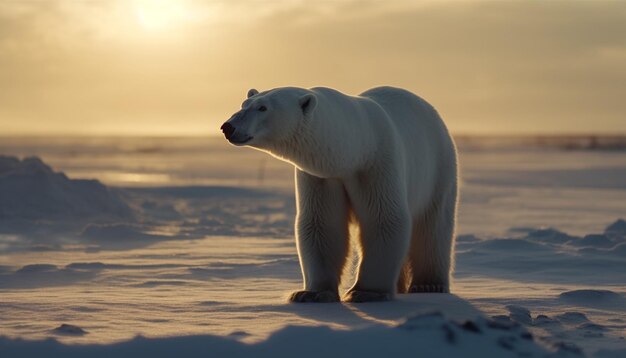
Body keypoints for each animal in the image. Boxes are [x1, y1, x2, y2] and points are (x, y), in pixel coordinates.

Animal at [222, 86, 456, 302]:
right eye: (244, 104)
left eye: (263, 107)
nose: (228, 127)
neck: (355, 149)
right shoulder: (321, 176)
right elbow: (321, 224)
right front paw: (310, 293)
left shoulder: (377, 164)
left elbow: (384, 219)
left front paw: (365, 292)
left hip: (438, 169)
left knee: (432, 228)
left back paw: (428, 285)